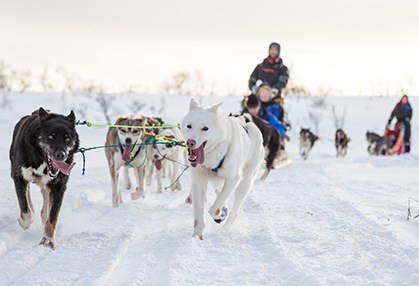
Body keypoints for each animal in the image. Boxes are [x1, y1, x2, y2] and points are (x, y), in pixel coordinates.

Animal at [9, 107, 79, 248]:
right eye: (51, 136)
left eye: (67, 138)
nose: (61, 155)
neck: (41, 159)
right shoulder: (18, 177)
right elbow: (25, 210)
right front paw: (24, 222)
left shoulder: (59, 187)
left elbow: (53, 216)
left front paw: (48, 239)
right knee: (28, 193)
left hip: (48, 186)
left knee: (45, 200)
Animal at [181, 98, 266, 239]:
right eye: (189, 126)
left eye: (205, 128)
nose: (190, 142)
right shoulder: (198, 182)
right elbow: (198, 215)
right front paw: (197, 236)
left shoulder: (234, 178)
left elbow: (214, 209)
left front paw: (220, 214)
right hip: (217, 182)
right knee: (219, 192)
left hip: (244, 184)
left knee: (234, 211)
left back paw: (224, 228)